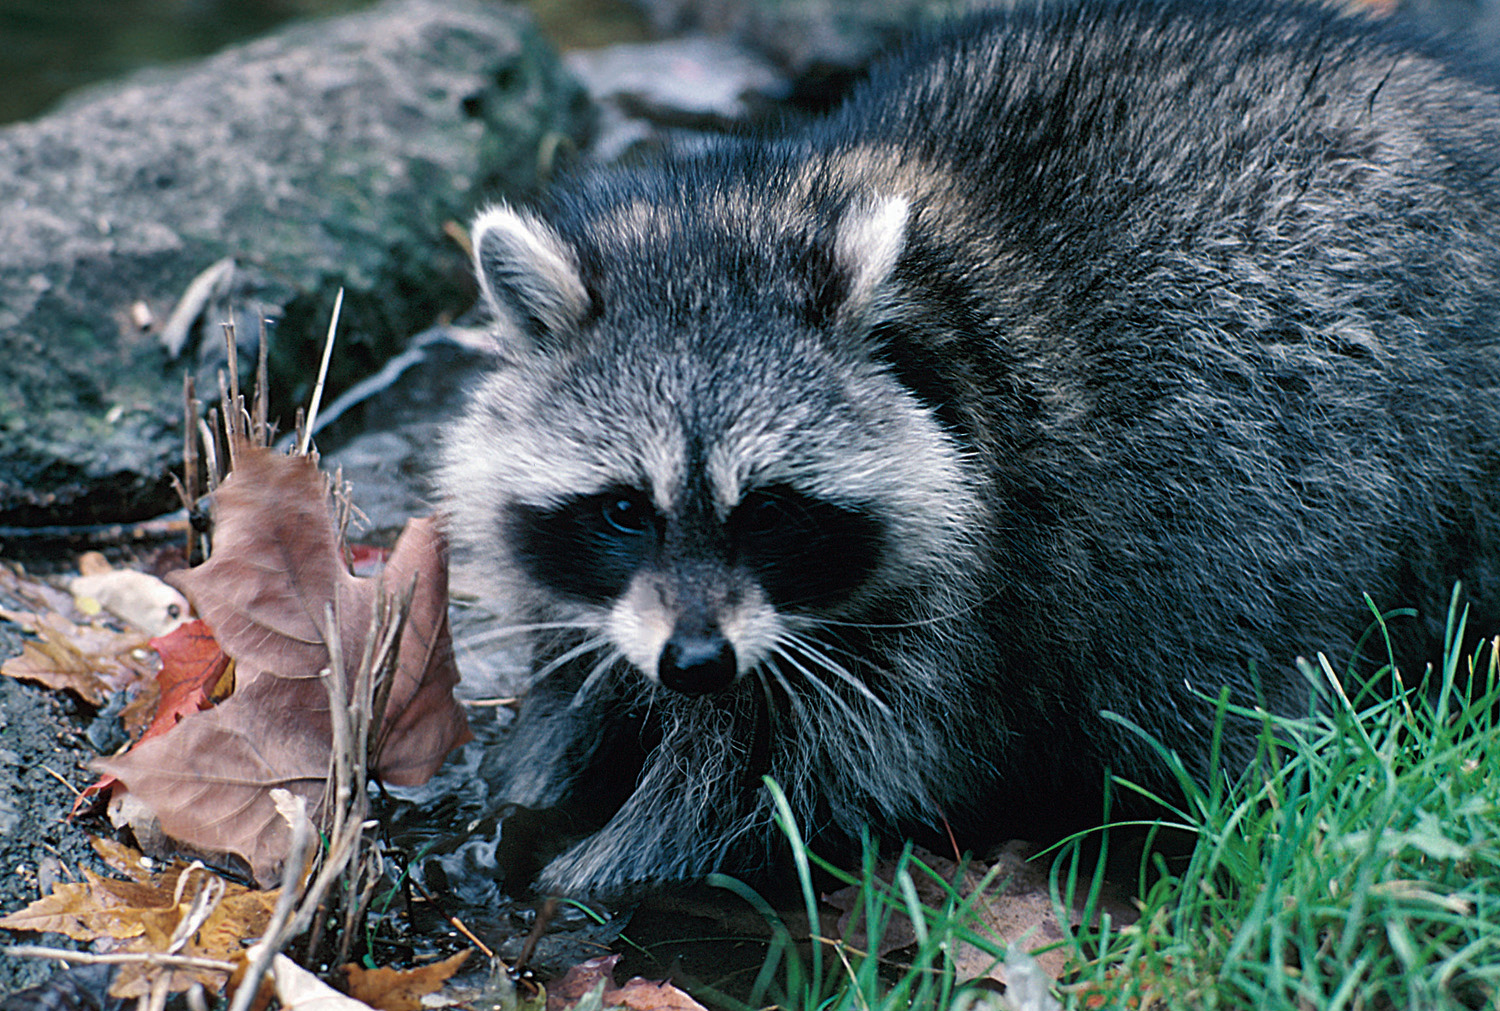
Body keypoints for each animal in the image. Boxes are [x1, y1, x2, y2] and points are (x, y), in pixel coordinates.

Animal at [438, 1, 1500, 900]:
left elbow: (776, 784)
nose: (696, 662)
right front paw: (528, 775)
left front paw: (604, 870)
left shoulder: (968, 598)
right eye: (625, 507)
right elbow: (583, 678)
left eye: (769, 509)